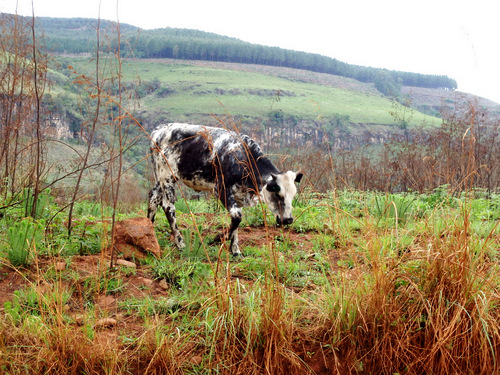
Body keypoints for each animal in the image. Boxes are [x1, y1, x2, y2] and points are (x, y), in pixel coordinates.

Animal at [146, 122, 302, 256]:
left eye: (293, 196)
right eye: (277, 193)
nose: (288, 219)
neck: (242, 156)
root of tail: (159, 129)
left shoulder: (239, 195)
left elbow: (236, 221)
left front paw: (235, 250)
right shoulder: (221, 189)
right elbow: (237, 216)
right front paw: (218, 238)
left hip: (161, 178)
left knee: (153, 198)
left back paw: (149, 229)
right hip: (167, 176)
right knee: (168, 206)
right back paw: (180, 243)